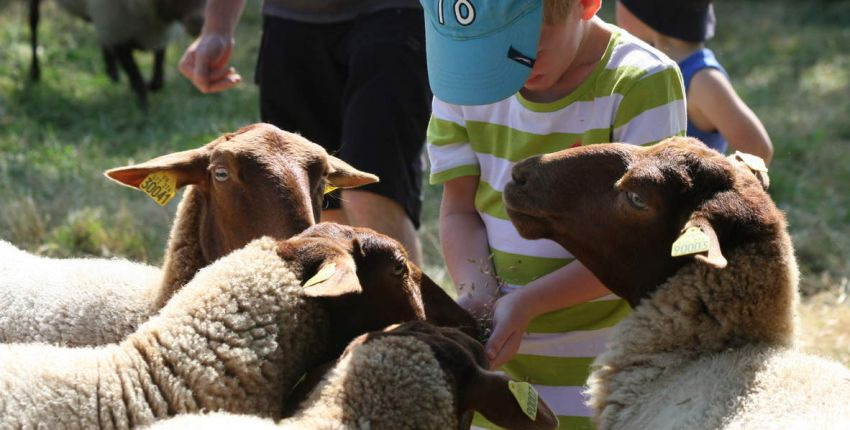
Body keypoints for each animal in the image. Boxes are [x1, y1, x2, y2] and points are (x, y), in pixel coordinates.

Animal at [29, 0, 205, 107]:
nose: (199, 23)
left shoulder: (160, 35)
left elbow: (157, 80)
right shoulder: (117, 30)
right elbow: (137, 79)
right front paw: (144, 113)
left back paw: (112, 72)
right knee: (34, 21)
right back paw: (34, 73)